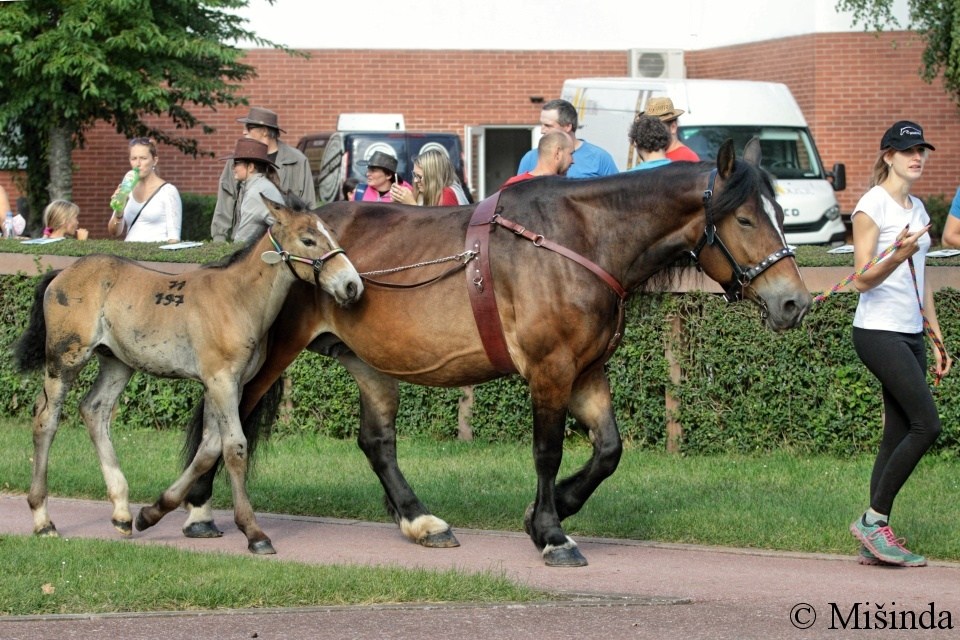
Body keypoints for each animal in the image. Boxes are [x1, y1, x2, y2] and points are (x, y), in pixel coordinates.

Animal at [13, 199, 366, 556]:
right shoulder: (222, 381)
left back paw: (123, 513)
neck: (238, 299)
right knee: (45, 419)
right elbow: (234, 447)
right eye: (308, 240)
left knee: (94, 410)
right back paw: (43, 520)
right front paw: (254, 532)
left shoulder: (226, 384)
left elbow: (209, 448)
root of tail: (61, 274)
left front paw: (153, 513)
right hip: (65, 358)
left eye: (331, 233)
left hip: (117, 362)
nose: (352, 285)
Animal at [182, 140, 808, 564]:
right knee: (227, 418)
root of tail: (276, 235)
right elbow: (547, 452)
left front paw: (549, 511)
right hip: (270, 355)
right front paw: (552, 534)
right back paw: (200, 509)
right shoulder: (551, 370)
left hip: (368, 361)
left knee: (377, 442)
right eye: (745, 217)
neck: (575, 241)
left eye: (780, 215)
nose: (794, 302)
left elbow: (608, 450)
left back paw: (420, 521)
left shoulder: (588, 371)